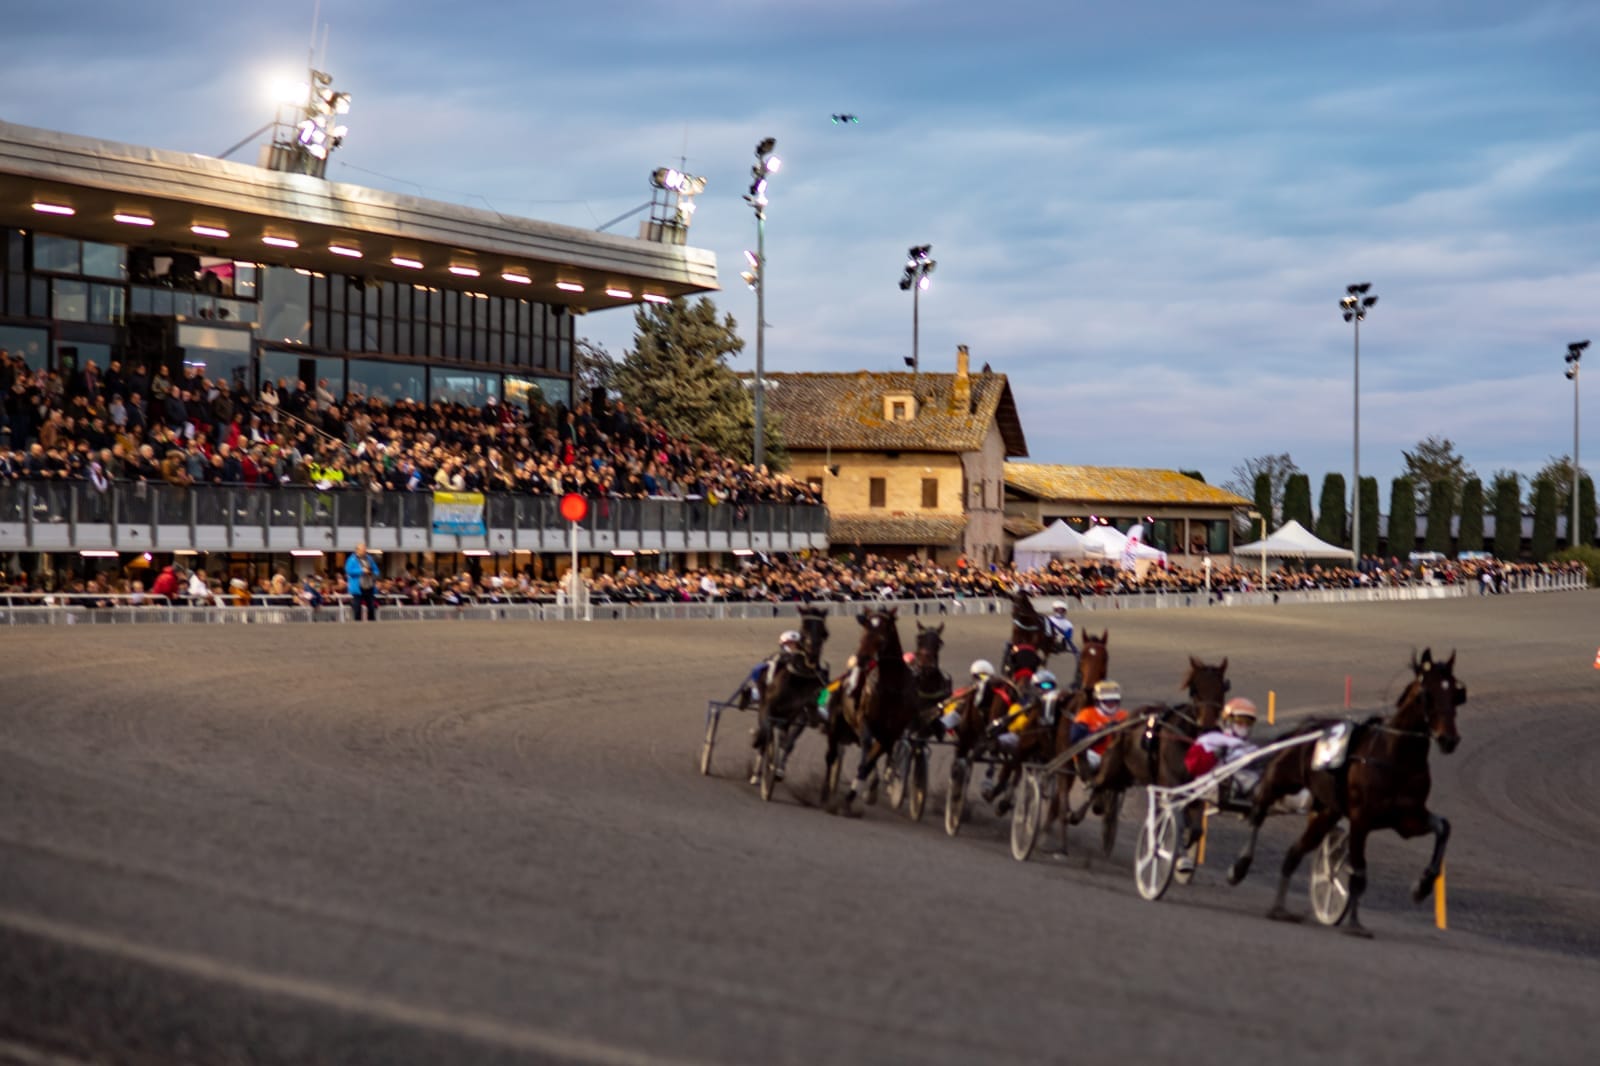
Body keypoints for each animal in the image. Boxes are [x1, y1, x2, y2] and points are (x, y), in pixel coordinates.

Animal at [825, 605, 928, 813]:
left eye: (882, 632)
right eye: (865, 629)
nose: (862, 659)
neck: (891, 688)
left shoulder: (891, 733)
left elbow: (872, 759)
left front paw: (859, 792)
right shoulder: (864, 720)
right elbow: (866, 748)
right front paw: (855, 792)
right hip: (836, 722)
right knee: (832, 756)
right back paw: (825, 795)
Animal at [1222, 643, 1465, 934]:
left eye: (1456, 693)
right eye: (1427, 693)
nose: (1449, 739)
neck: (1395, 758)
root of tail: (1305, 728)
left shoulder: (1408, 819)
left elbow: (1444, 828)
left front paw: (1423, 885)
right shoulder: (1362, 820)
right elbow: (1358, 872)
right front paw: (1354, 923)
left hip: (1325, 812)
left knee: (1293, 853)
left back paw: (1279, 908)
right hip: (1282, 778)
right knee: (1259, 808)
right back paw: (1239, 867)